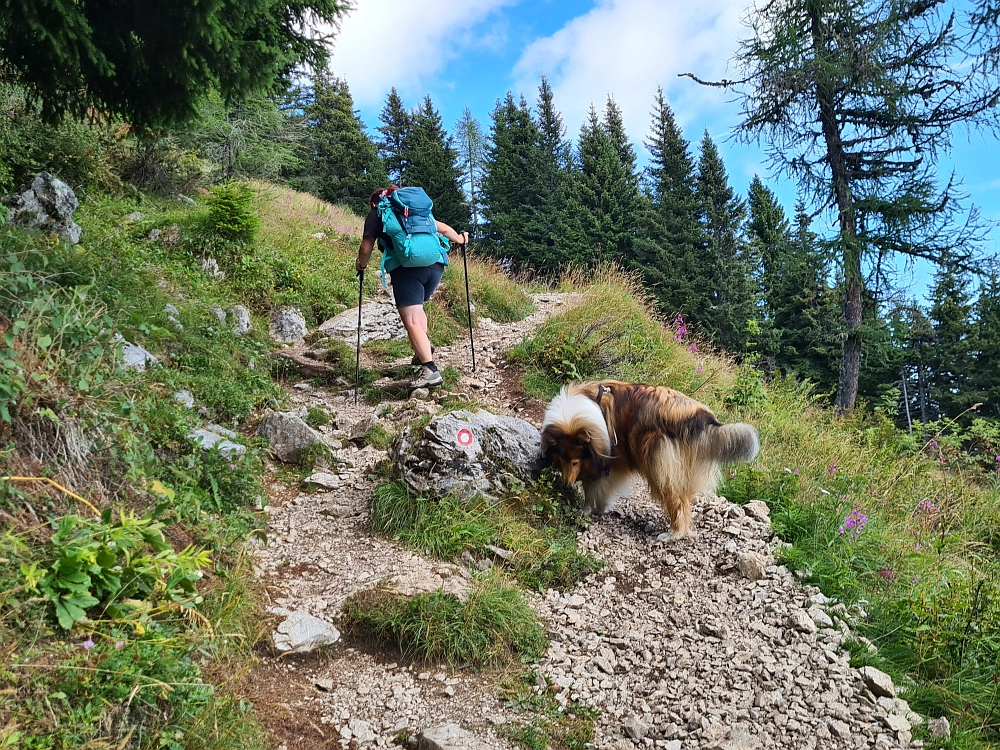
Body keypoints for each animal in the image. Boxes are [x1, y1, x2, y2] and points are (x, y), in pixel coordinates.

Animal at [544, 382, 760, 540]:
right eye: (561, 459)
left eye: (575, 461)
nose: (566, 484)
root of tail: (700, 417)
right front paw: (601, 507)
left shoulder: (602, 458)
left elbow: (592, 488)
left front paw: (587, 510)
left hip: (659, 466)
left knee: (678, 502)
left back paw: (673, 534)